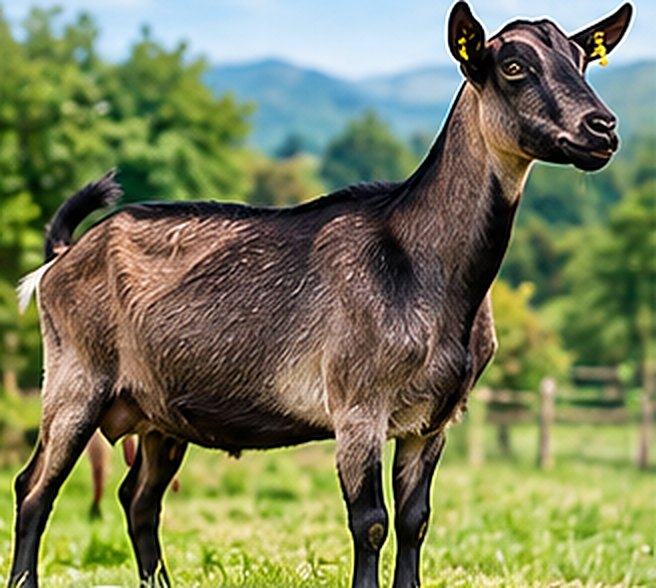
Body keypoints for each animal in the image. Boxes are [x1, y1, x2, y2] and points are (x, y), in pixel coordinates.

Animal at [9, 3, 632, 587]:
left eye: (581, 60)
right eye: (514, 66)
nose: (602, 128)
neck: (423, 265)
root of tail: (63, 255)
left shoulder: (435, 419)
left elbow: (416, 520)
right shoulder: (358, 403)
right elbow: (371, 522)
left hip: (159, 411)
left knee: (139, 499)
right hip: (76, 378)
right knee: (34, 487)